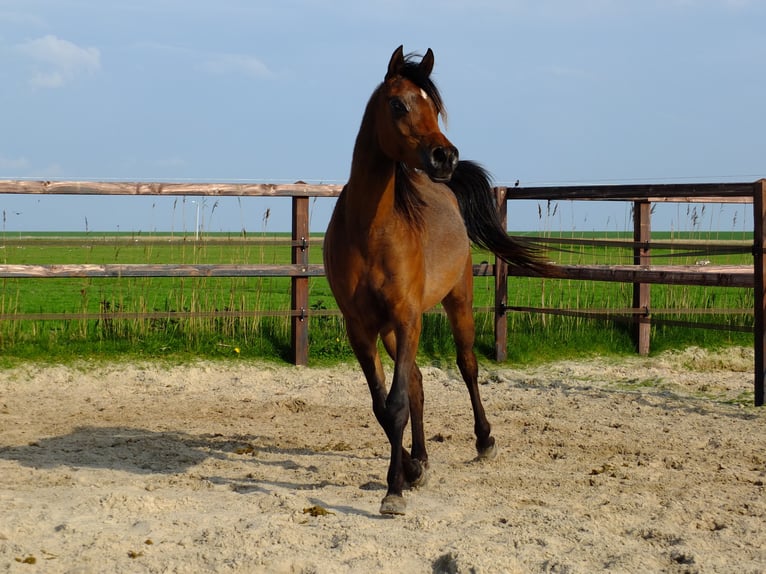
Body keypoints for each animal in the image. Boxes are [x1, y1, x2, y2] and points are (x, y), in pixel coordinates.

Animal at [320, 46, 556, 516]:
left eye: (435, 107)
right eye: (398, 104)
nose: (445, 156)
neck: (370, 230)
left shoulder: (408, 317)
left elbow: (395, 404)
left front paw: (394, 489)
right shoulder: (361, 328)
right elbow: (384, 404)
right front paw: (409, 472)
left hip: (456, 302)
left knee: (466, 366)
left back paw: (485, 441)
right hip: (393, 330)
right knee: (417, 383)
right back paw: (422, 458)